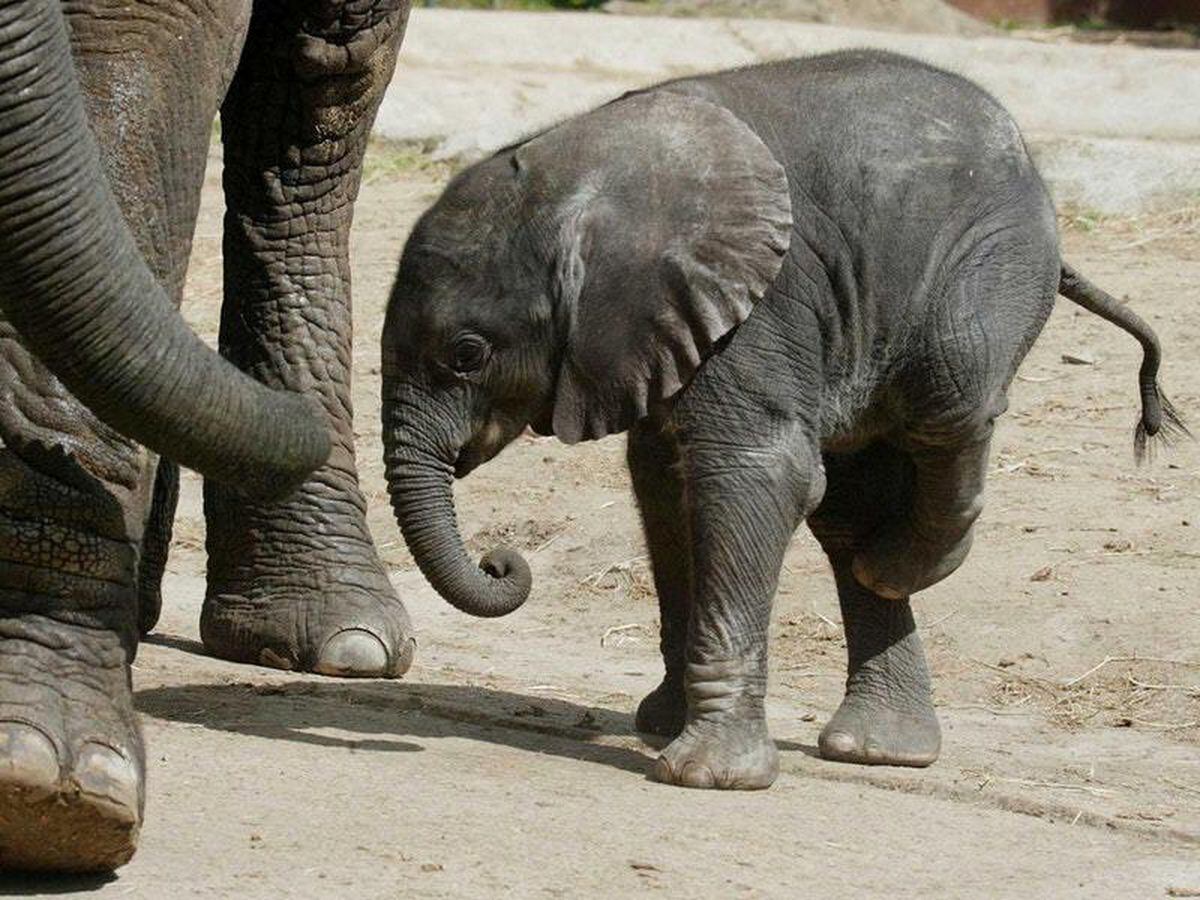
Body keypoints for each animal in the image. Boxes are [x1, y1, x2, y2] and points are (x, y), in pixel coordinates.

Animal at [384, 52, 1180, 792]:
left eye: (467, 355)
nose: (501, 561)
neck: (575, 175)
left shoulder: (759, 303)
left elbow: (751, 471)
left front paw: (705, 776)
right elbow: (666, 483)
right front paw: (663, 728)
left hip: (988, 261)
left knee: (951, 394)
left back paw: (901, 568)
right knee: (852, 506)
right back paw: (881, 744)